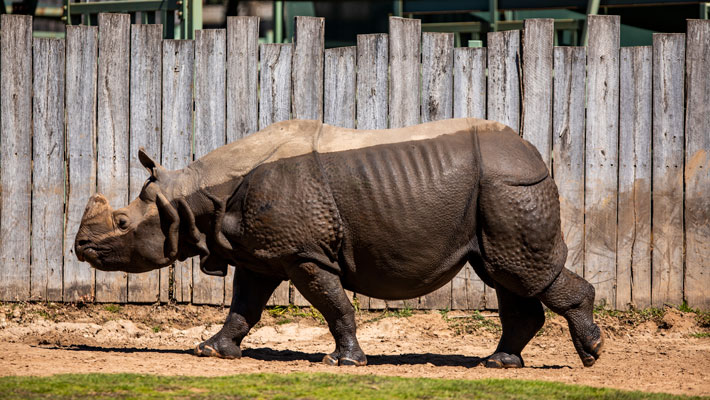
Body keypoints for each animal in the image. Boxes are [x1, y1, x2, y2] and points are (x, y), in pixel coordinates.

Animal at [75, 118, 604, 368]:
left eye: (120, 222)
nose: (79, 247)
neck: (191, 194)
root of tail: (534, 153)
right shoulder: (263, 255)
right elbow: (243, 307)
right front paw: (212, 352)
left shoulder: (303, 253)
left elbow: (334, 305)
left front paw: (343, 361)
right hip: (498, 189)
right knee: (503, 274)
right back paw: (498, 363)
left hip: (508, 187)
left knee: (518, 271)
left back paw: (590, 354)